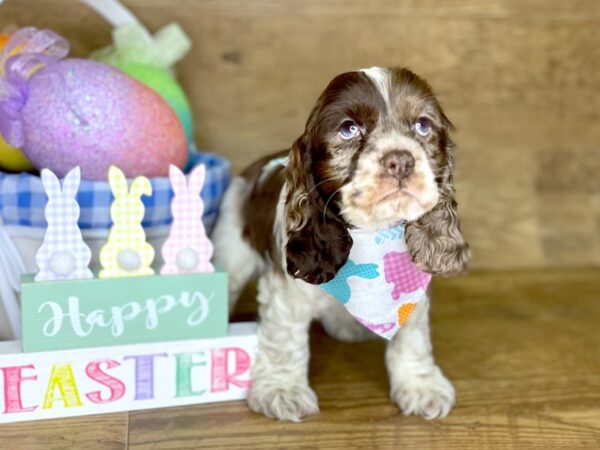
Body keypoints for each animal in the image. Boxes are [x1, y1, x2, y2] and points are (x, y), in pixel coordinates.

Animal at [211, 66, 468, 422]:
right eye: (349, 129)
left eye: (422, 125)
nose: (401, 161)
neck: (371, 234)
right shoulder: (286, 292)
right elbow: (284, 340)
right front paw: (282, 390)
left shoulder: (410, 290)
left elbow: (412, 336)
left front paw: (421, 386)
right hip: (231, 249)